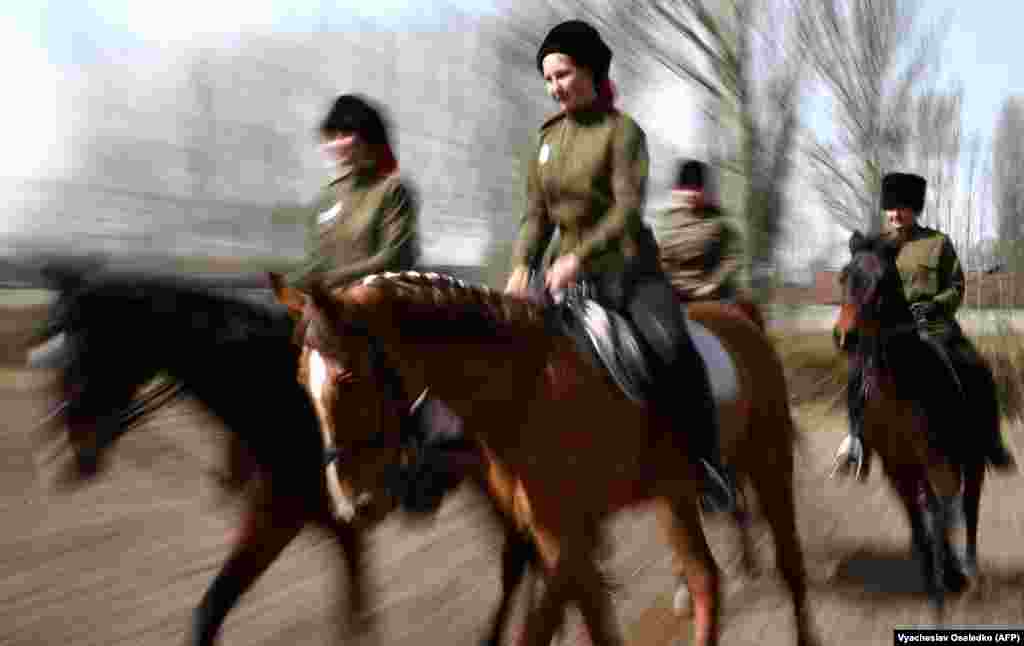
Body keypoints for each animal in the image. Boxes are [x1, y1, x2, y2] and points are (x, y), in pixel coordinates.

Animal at [25, 262, 536, 646]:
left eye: (93, 351)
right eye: (55, 344)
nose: (75, 458)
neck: (275, 397)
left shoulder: (279, 517)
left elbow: (211, 609)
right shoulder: (330, 519)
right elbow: (355, 604)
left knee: (517, 560)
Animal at [294, 270, 815, 646]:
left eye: (347, 378)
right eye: (301, 380)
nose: (352, 504)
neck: (521, 388)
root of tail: (739, 313)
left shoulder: (566, 538)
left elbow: (541, 629)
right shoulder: (555, 536)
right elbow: (597, 625)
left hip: (769, 463)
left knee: (790, 565)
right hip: (674, 496)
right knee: (706, 578)